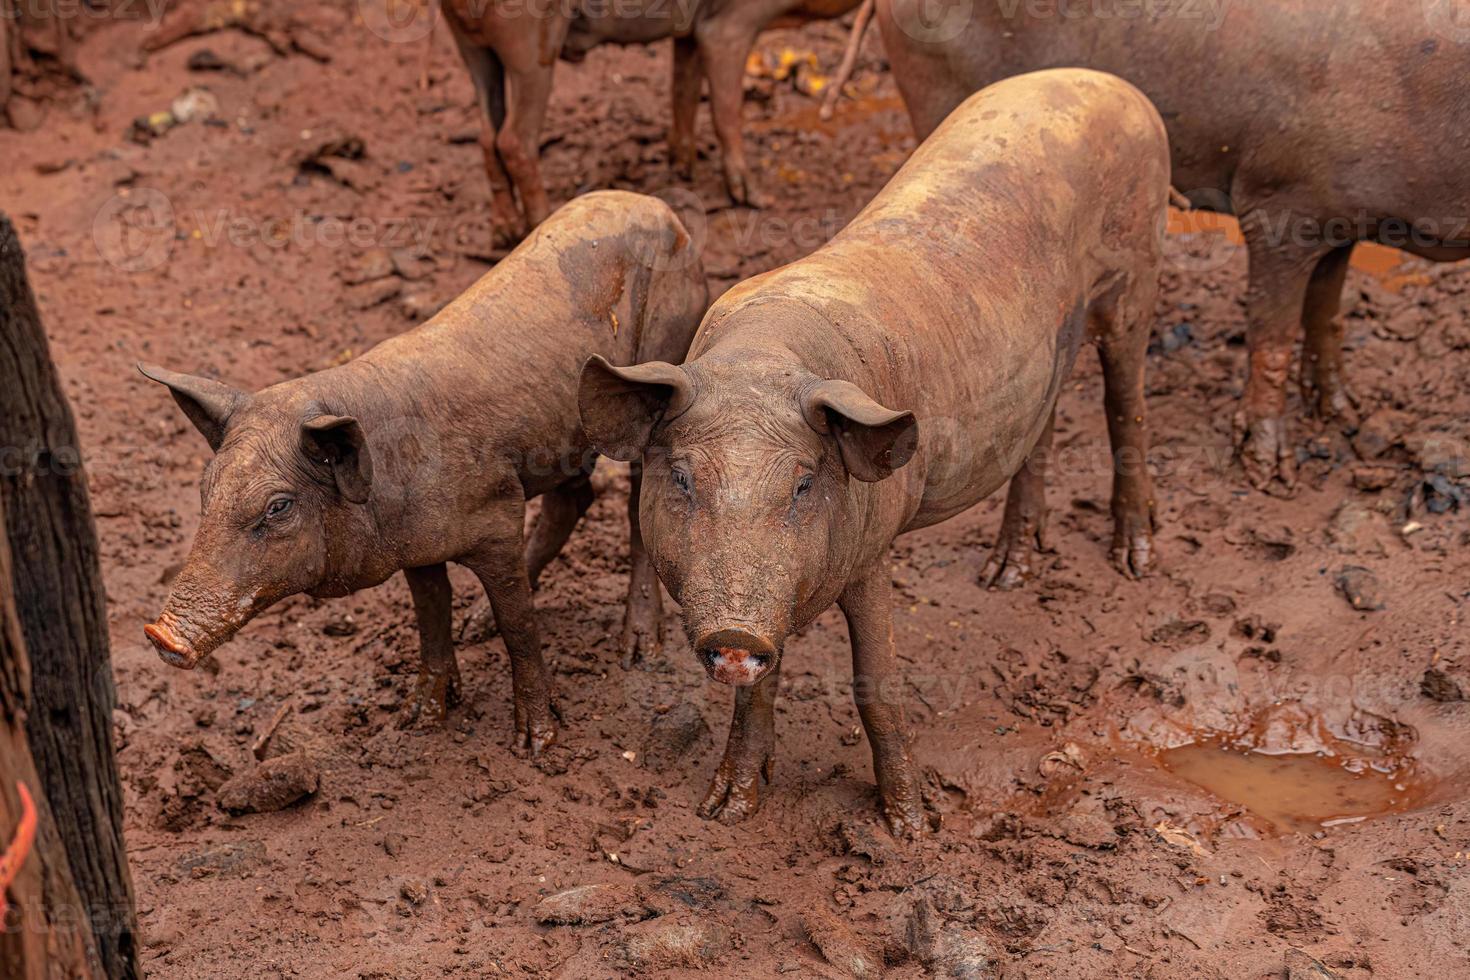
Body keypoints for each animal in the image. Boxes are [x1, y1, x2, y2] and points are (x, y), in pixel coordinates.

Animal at [141, 193, 705, 758]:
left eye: (278, 507)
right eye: (204, 490)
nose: (159, 635)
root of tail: (663, 210)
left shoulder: (499, 514)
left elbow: (518, 623)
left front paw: (536, 743)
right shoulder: (414, 546)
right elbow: (431, 612)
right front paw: (419, 719)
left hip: (660, 368)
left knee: (635, 509)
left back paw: (638, 652)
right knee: (575, 499)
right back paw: (477, 624)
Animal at [441, 0, 864, 240]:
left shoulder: (690, 32)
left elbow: (684, 89)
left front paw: (684, 168)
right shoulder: (728, 28)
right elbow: (726, 108)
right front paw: (756, 197)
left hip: (470, 45)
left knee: (486, 136)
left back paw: (504, 233)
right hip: (530, 49)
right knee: (513, 140)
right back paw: (539, 223)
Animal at [579, 70, 1164, 834]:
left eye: (803, 484)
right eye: (680, 477)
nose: (736, 632)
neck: (766, 357)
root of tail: (1115, 85)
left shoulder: (875, 547)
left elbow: (875, 683)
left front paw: (911, 828)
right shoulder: (777, 599)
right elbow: (758, 690)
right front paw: (726, 810)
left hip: (1136, 274)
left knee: (1126, 402)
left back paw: (1135, 561)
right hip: (1045, 356)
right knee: (1042, 426)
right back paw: (1004, 574)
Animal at [876, 0, 1470, 490]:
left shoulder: (1338, 220)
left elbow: (1326, 309)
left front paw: (1345, 413)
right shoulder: (1276, 201)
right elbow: (1272, 336)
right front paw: (1269, 475)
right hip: (929, 91)